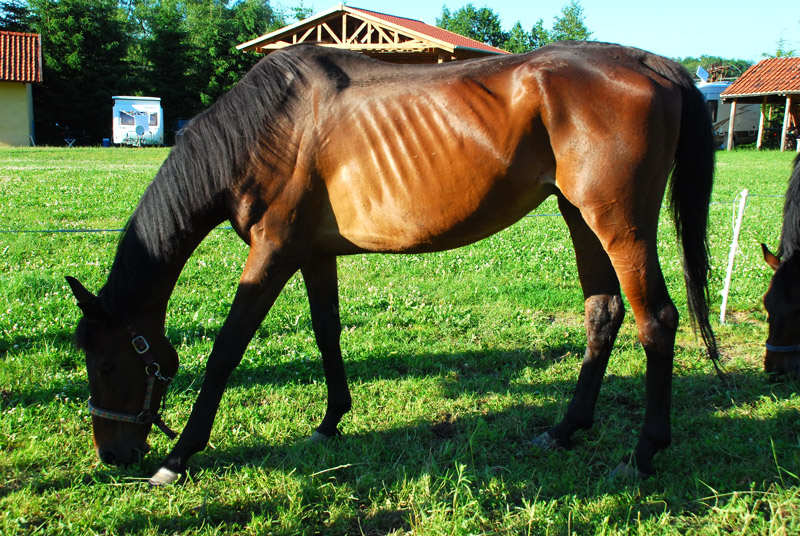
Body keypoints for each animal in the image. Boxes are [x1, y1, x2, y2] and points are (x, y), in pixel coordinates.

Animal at [66, 41, 719, 486]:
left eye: (106, 362)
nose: (114, 456)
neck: (265, 128)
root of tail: (651, 63)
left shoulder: (271, 252)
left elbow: (226, 350)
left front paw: (179, 457)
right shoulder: (311, 253)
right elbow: (326, 330)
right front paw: (330, 421)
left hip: (619, 222)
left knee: (656, 321)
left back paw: (643, 453)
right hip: (579, 215)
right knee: (602, 313)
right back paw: (563, 431)